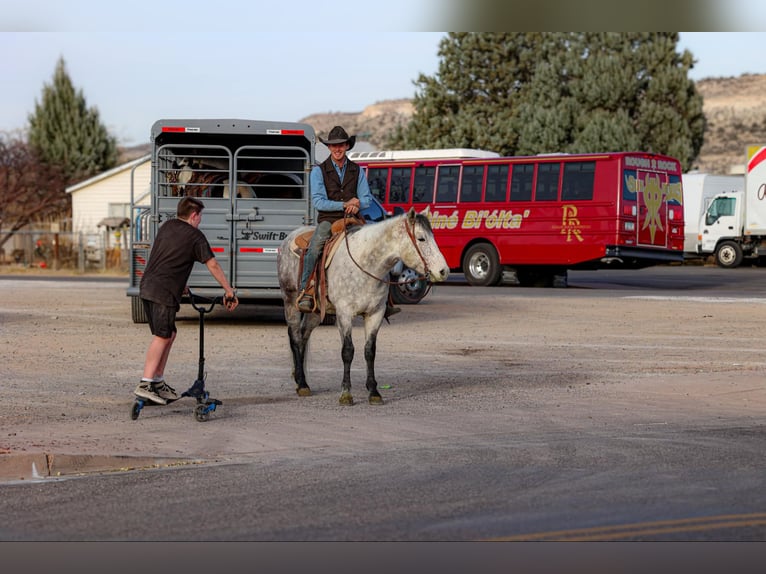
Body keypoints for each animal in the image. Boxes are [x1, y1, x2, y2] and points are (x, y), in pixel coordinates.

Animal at [277, 207, 450, 406]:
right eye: (421, 238)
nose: (443, 271)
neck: (365, 265)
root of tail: (290, 237)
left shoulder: (375, 313)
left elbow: (370, 351)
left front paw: (374, 391)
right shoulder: (344, 314)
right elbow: (348, 351)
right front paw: (346, 393)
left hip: (315, 312)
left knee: (304, 336)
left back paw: (301, 380)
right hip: (290, 301)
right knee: (295, 337)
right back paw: (302, 384)